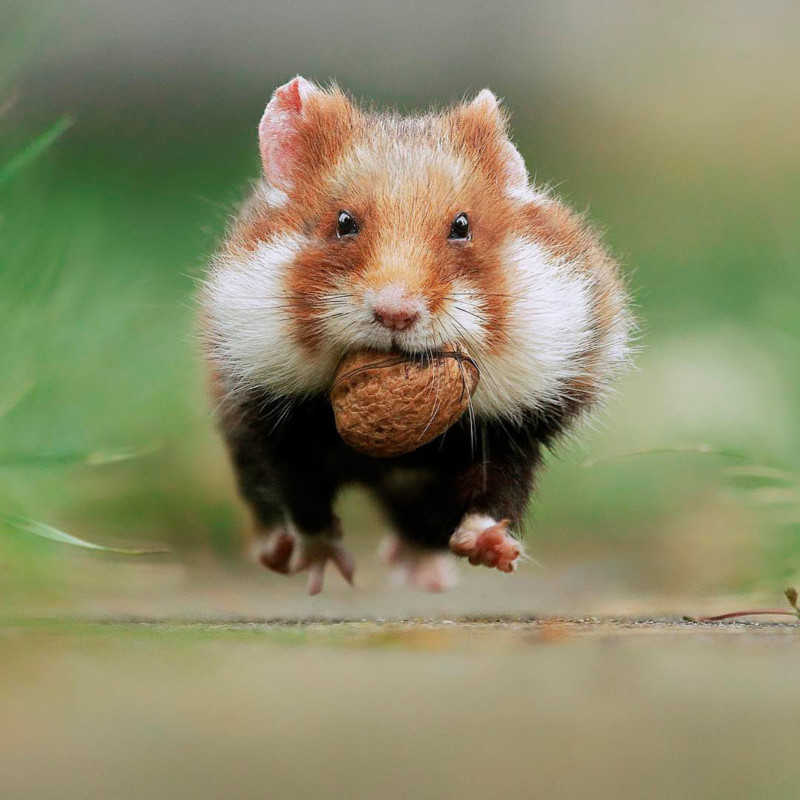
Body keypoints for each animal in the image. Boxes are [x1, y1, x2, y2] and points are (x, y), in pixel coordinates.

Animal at [202, 76, 632, 592]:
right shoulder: (272, 414)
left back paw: (425, 575)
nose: (396, 314)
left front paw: (492, 551)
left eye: (461, 226)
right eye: (343, 223)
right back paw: (279, 554)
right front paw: (321, 566)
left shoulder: (515, 425)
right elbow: (302, 496)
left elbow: (498, 491)